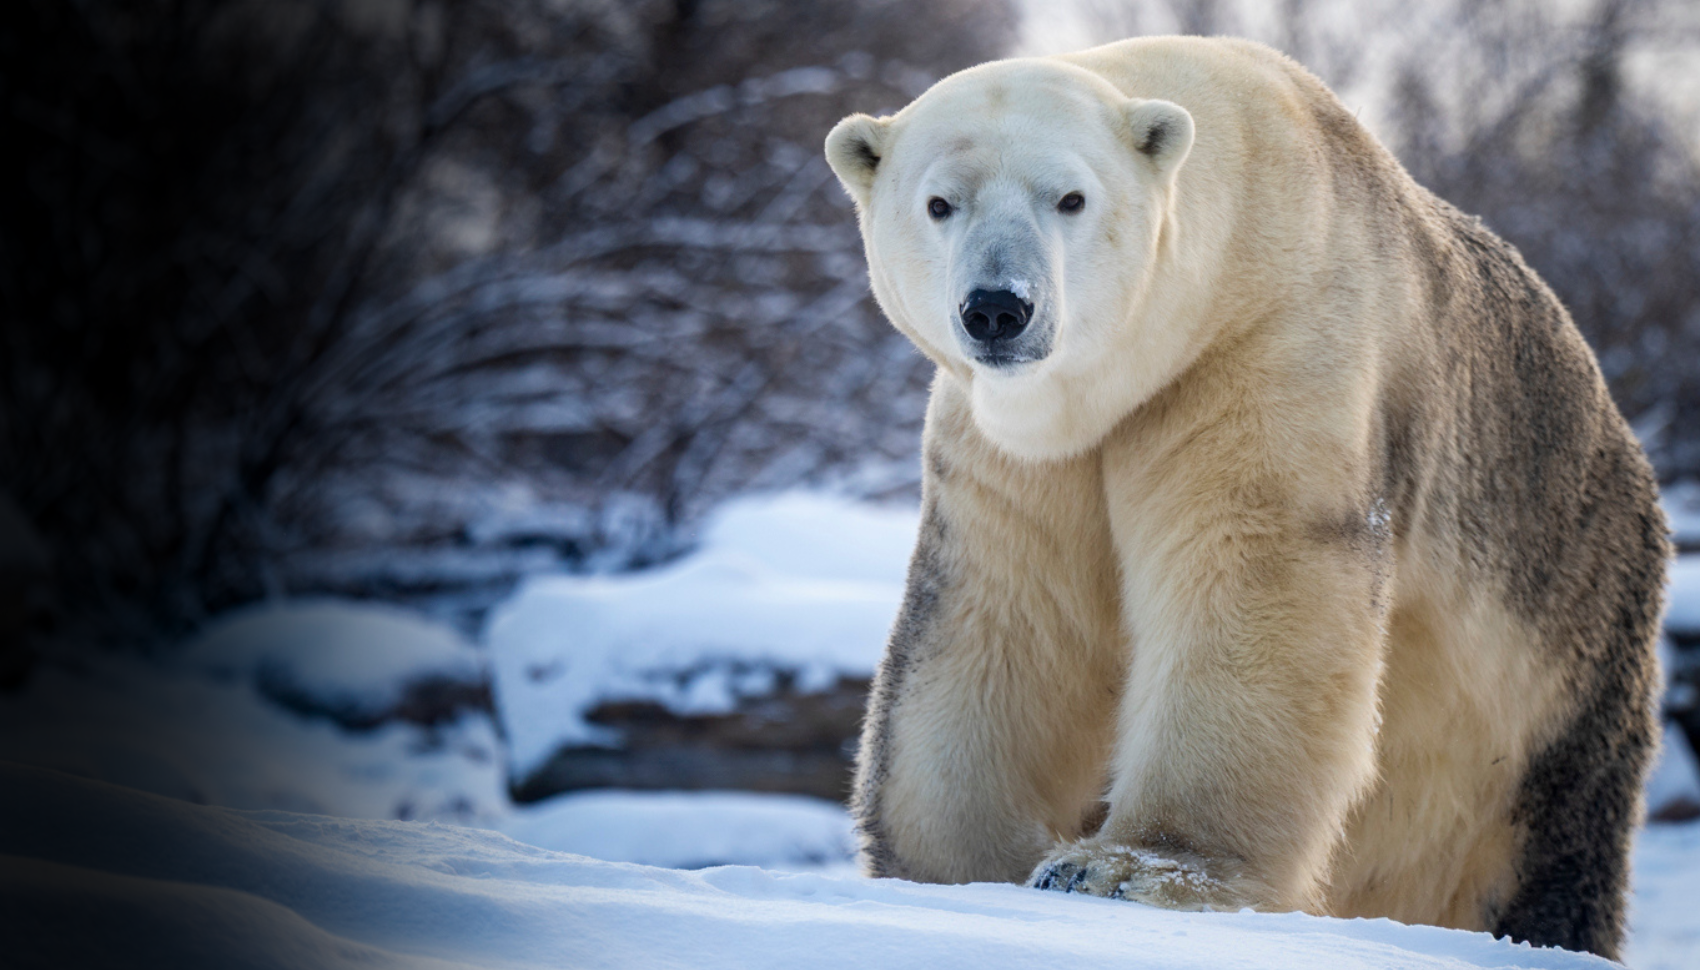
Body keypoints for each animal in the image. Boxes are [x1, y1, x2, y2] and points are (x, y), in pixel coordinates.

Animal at [823, 35, 1668, 960]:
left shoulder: (1273, 340)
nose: (998, 309)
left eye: (1071, 198)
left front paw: (1121, 871)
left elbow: (1251, 572)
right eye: (940, 203)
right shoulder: (1013, 446)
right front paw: (945, 870)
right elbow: (1008, 606)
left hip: (1559, 638)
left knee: (1549, 836)